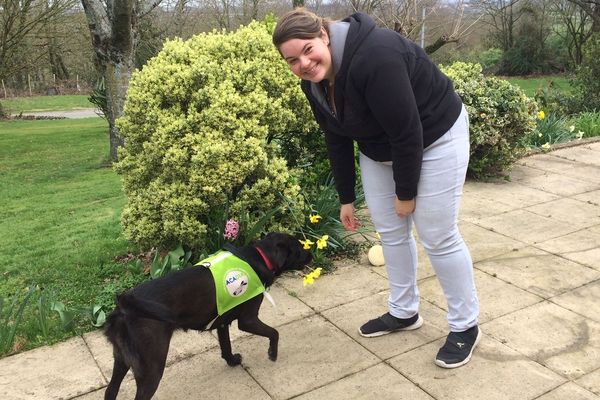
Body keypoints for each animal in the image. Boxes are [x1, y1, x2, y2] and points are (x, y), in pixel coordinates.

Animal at [102, 233, 312, 400]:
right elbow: (274, 333)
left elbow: (226, 347)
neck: (261, 256)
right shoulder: (248, 320)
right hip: (151, 367)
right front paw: (272, 353)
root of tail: (122, 309)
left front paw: (232, 361)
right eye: (299, 247)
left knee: (110, 391)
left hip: (121, 359)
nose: (311, 254)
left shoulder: (222, 322)